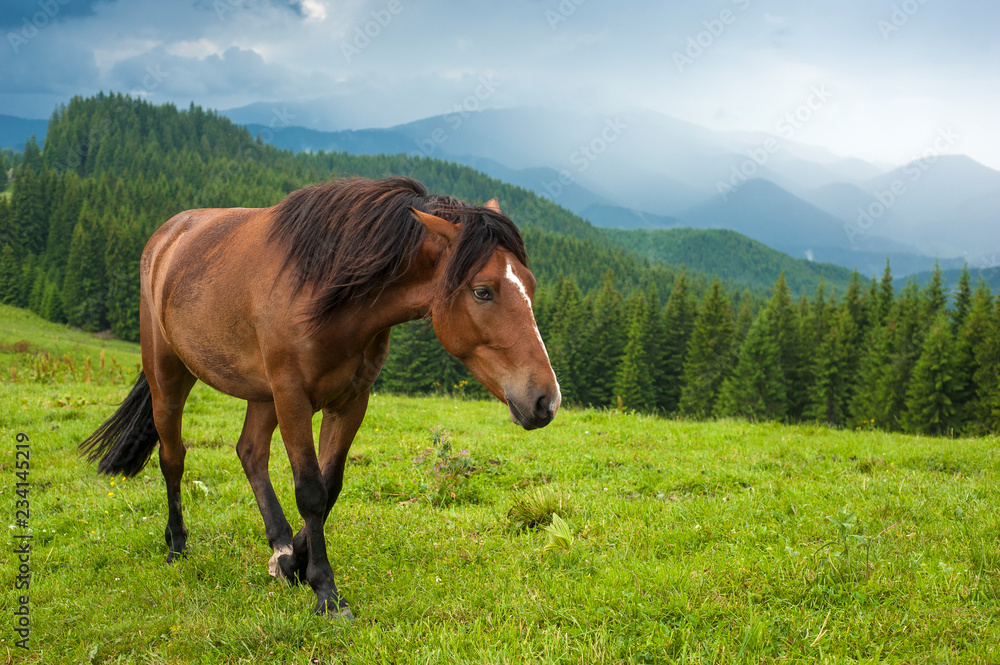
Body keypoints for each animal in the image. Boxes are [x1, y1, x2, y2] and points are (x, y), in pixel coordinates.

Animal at [80, 174, 564, 616]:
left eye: (531, 285)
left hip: (261, 394)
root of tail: (168, 236)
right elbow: (311, 490)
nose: (546, 401)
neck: (329, 292)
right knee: (173, 458)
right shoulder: (292, 397)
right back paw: (177, 545)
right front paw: (326, 592)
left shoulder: (351, 401)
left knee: (250, 452)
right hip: (169, 376)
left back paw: (277, 545)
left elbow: (330, 486)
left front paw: (292, 563)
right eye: (482, 291)